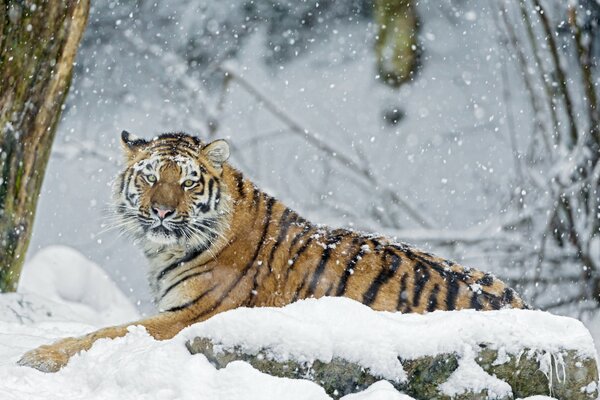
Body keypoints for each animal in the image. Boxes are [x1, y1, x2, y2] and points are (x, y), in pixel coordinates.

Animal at [18, 130, 524, 372]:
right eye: (149, 177)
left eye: (188, 182)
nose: (161, 211)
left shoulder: (189, 316)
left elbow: (103, 333)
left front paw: (36, 357)